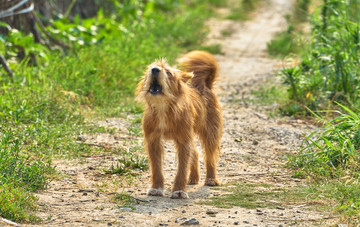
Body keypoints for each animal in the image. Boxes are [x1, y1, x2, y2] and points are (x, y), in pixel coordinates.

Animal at [136, 50, 224, 199]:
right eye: (150, 68)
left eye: (168, 72)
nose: (155, 70)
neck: (163, 108)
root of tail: (205, 86)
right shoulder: (153, 141)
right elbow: (156, 167)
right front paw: (156, 188)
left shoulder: (183, 141)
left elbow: (182, 168)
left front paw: (178, 190)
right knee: (195, 152)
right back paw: (193, 177)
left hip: (210, 134)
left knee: (210, 157)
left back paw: (211, 179)